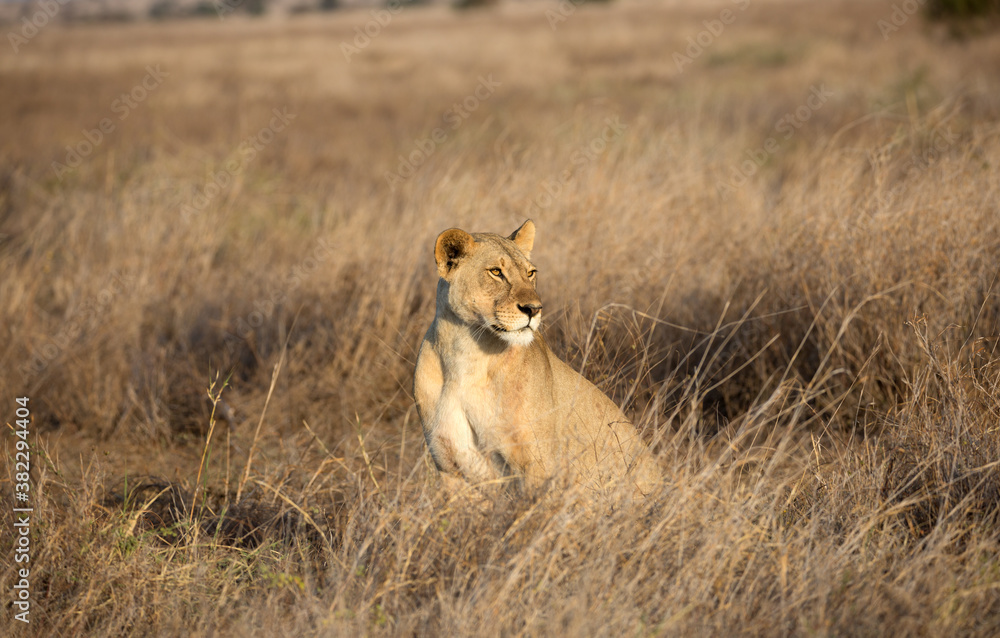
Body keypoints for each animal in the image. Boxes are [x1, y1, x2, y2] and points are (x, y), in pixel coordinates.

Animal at [413, 219, 660, 496]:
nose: (534, 309)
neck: (466, 354)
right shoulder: (451, 469)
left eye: (530, 273)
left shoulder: (537, 466)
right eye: (496, 272)